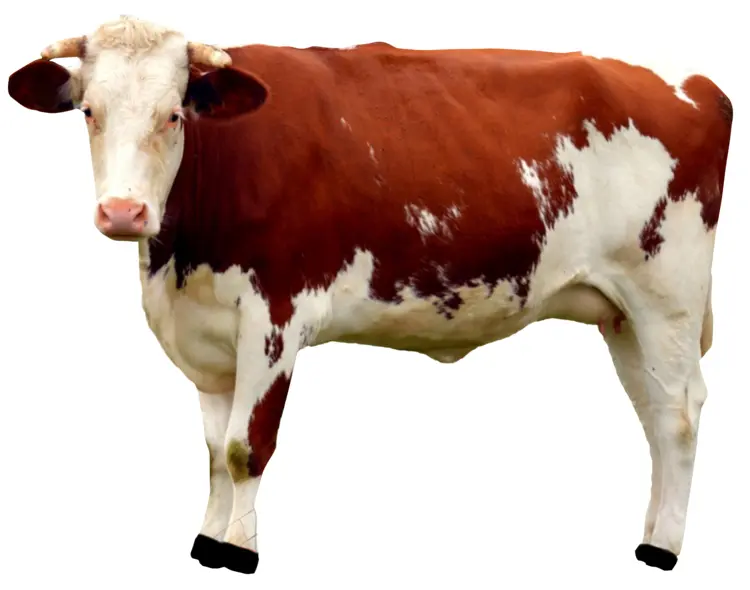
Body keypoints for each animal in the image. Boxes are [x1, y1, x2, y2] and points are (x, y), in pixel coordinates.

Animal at [8, 14, 733, 575]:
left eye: (173, 114)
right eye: (90, 112)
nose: (123, 212)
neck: (182, 258)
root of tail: (693, 84)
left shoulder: (275, 315)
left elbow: (246, 448)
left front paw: (240, 550)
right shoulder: (205, 332)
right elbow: (214, 452)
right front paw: (208, 540)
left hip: (665, 295)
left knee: (678, 416)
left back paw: (663, 551)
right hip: (622, 314)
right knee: (653, 417)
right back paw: (651, 534)